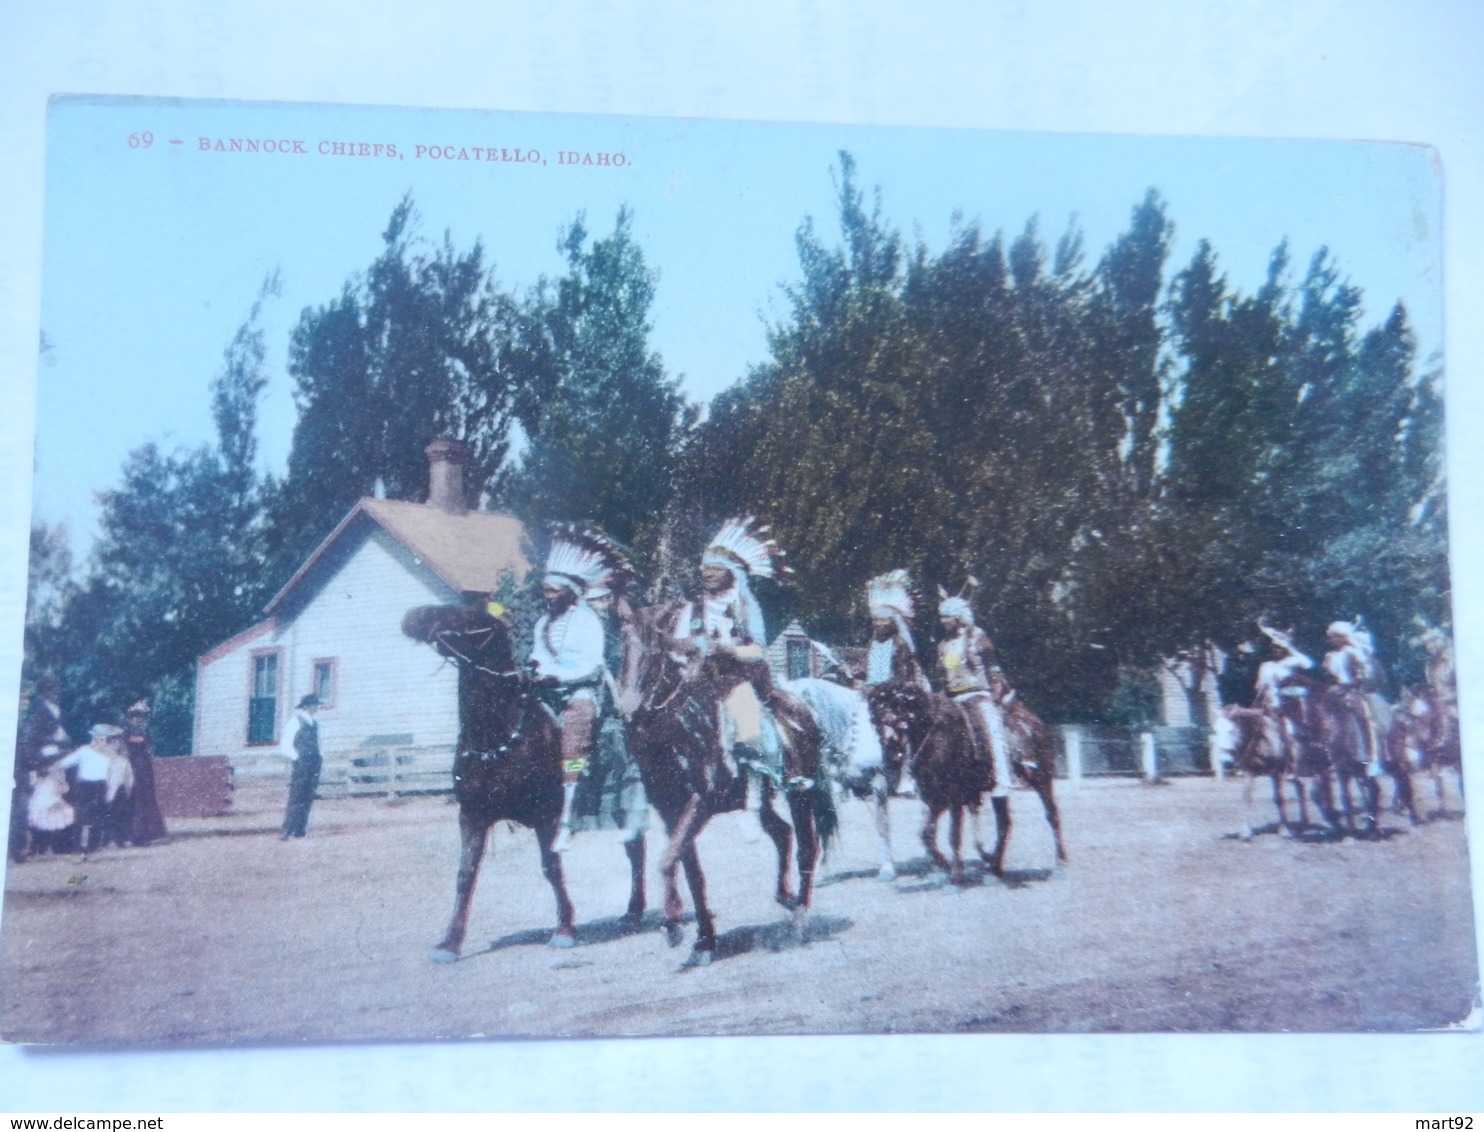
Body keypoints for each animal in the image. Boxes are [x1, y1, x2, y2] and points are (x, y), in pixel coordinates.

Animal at [403, 605, 647, 961]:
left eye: (463, 615)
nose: (412, 616)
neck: (497, 736)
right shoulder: (472, 815)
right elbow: (466, 874)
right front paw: (450, 944)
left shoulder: (546, 817)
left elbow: (552, 867)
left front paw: (564, 930)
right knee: (635, 849)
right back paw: (633, 914)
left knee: (639, 850)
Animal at [611, 596, 836, 967]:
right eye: (621, 648)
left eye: (655, 653)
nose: (630, 713)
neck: (682, 734)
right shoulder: (671, 811)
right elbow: (689, 869)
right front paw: (703, 939)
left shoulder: (702, 803)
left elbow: (667, 859)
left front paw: (674, 926)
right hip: (758, 799)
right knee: (782, 834)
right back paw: (784, 896)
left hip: (799, 795)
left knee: (807, 846)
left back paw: (799, 920)